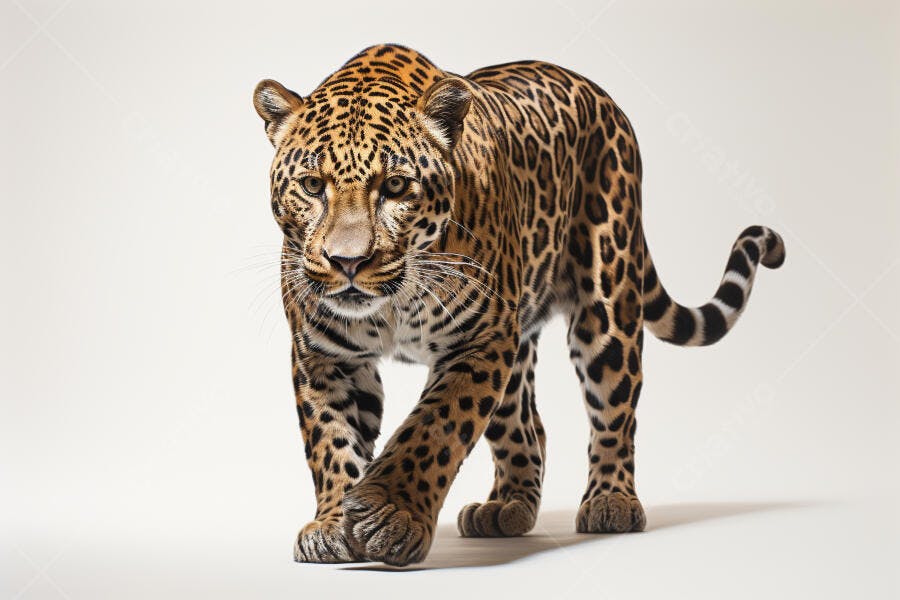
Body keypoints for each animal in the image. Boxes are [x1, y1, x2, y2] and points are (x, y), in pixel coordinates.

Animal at [252, 44, 785, 567]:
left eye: (396, 187)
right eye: (312, 186)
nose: (348, 262)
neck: (392, 305)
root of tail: (600, 94)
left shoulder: (477, 342)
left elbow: (435, 428)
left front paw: (391, 513)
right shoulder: (324, 356)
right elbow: (330, 442)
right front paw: (330, 524)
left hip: (606, 303)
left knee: (615, 408)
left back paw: (611, 501)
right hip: (517, 339)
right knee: (527, 425)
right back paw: (506, 506)